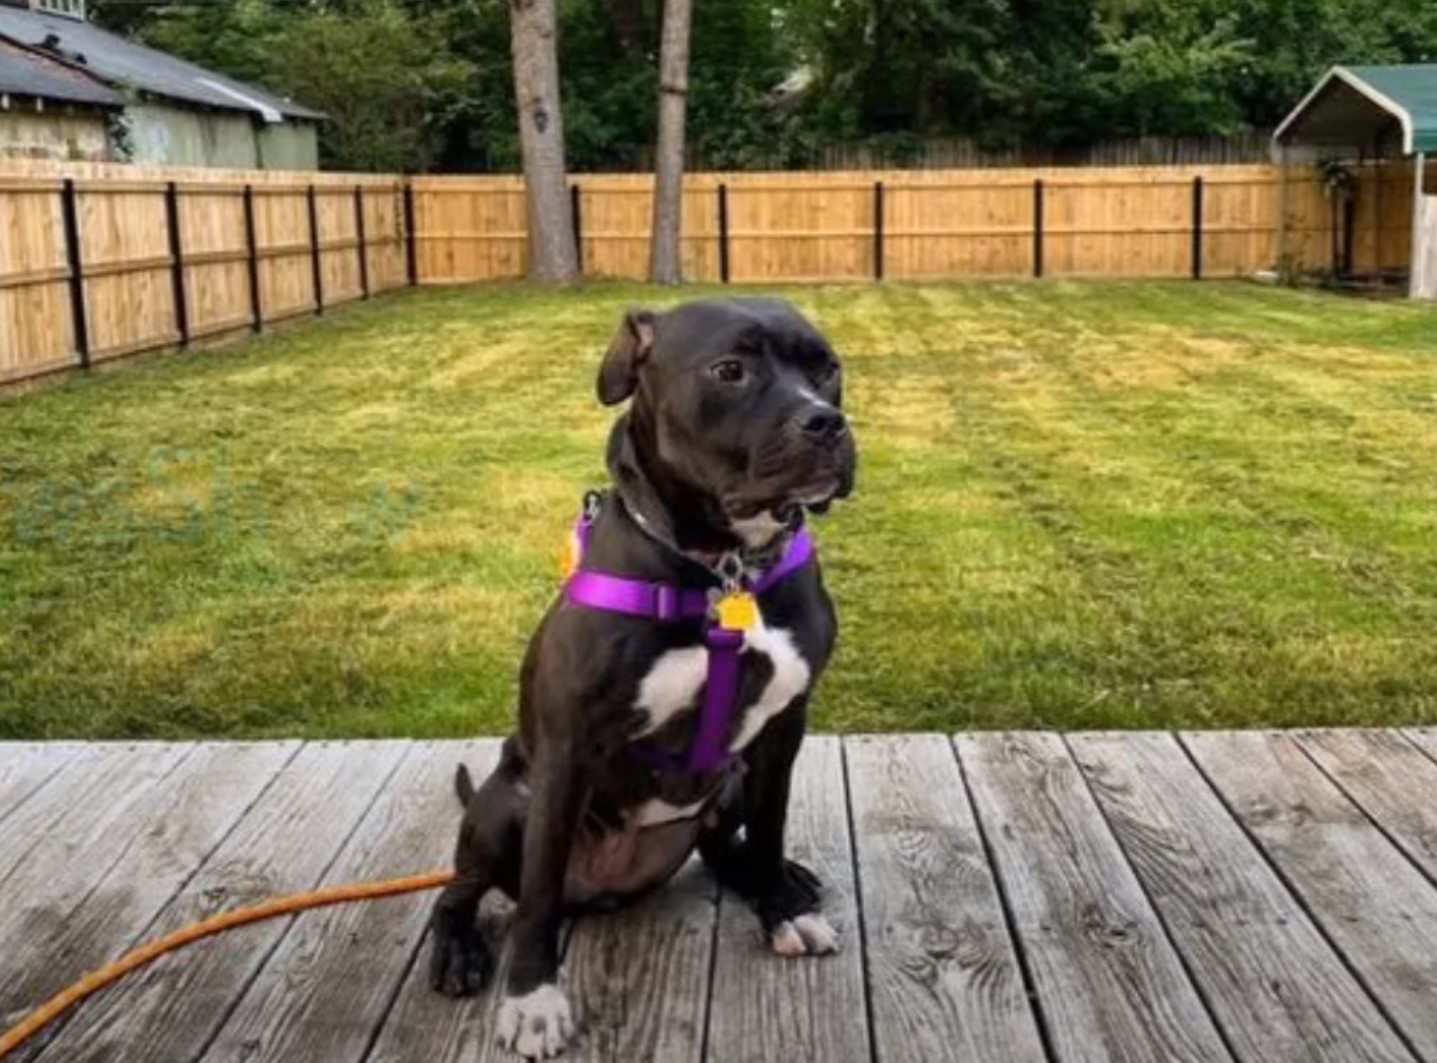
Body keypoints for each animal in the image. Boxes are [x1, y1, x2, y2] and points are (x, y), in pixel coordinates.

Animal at [425, 297, 850, 1057]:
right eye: (729, 370)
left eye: (826, 367)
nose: (824, 421)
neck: (722, 568)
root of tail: (603, 887)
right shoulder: (567, 750)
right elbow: (536, 893)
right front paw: (532, 998)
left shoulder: (782, 728)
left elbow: (770, 829)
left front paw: (779, 906)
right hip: (504, 807)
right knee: (463, 890)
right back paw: (457, 949)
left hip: (728, 782)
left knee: (720, 845)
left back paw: (778, 881)